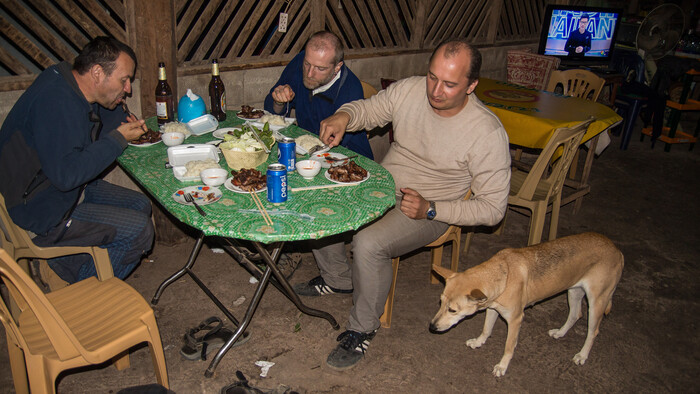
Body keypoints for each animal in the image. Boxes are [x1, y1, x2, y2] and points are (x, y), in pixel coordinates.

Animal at [430, 232, 628, 378]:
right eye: (440, 302)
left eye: (452, 310)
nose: (432, 327)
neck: (503, 274)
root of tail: (617, 250)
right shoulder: (493, 308)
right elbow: (486, 330)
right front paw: (479, 342)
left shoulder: (515, 319)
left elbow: (509, 346)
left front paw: (502, 366)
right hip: (574, 291)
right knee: (575, 314)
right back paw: (560, 333)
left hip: (597, 302)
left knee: (593, 331)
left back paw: (582, 355)